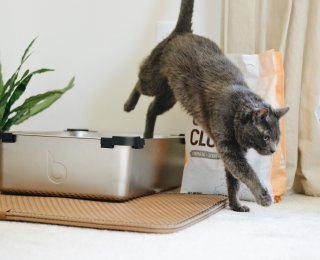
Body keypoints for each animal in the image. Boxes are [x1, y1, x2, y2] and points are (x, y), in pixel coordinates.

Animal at [124, 0, 288, 211]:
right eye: (266, 137)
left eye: (277, 138)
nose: (274, 150)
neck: (236, 109)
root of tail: (183, 32)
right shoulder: (229, 149)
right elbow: (247, 173)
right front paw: (263, 197)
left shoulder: (233, 152)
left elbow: (233, 181)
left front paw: (236, 205)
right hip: (154, 81)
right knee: (139, 82)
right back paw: (128, 105)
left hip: (170, 96)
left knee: (151, 108)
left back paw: (148, 133)